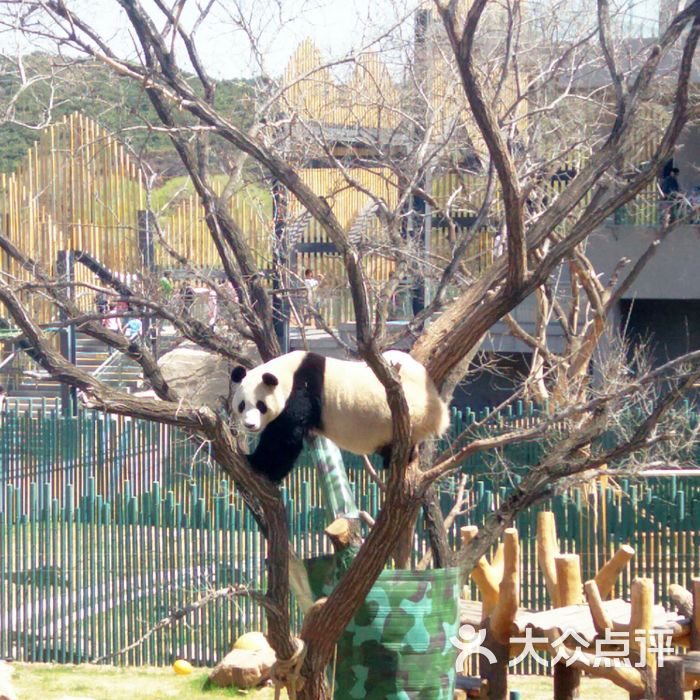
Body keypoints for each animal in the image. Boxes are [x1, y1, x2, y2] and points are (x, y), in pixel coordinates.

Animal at [230, 350, 448, 482]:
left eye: (261, 405)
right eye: (242, 405)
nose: (250, 425)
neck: (287, 373)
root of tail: (439, 409)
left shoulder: (302, 390)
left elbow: (285, 437)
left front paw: (259, 464)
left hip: (411, 411)